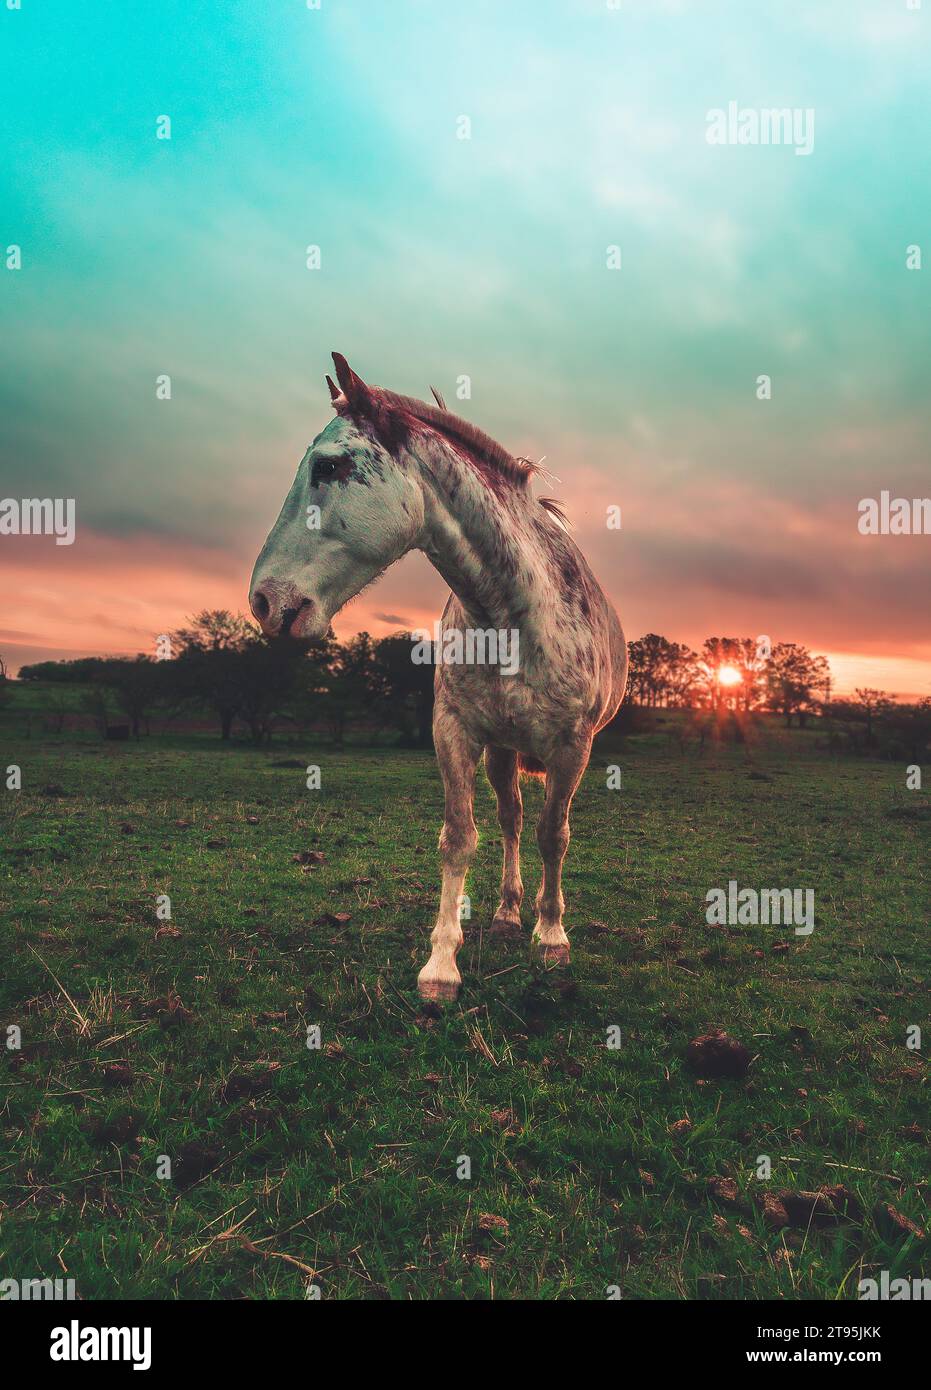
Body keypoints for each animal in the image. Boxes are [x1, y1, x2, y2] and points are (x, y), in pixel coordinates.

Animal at [250, 347, 628, 1000]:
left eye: (328, 466)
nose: (264, 602)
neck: (511, 616)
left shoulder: (571, 747)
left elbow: (555, 835)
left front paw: (553, 939)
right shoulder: (453, 731)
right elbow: (460, 836)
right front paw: (441, 964)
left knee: (531, 826)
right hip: (501, 749)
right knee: (509, 820)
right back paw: (506, 913)